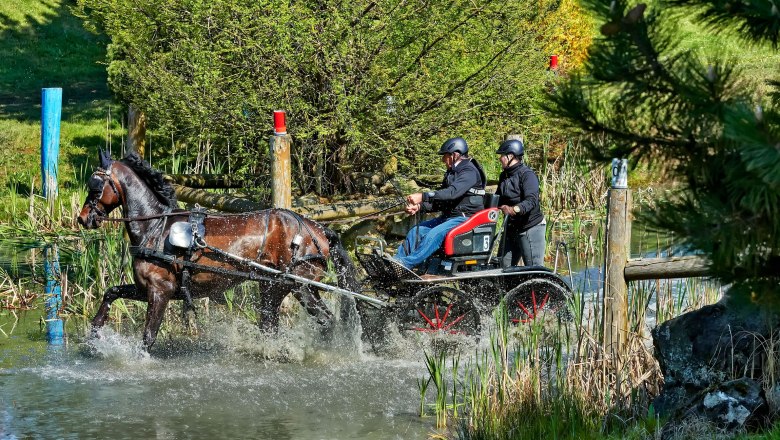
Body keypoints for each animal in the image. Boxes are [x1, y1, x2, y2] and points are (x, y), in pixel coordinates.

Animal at [76, 151, 362, 350]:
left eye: (95, 185)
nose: (83, 218)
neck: (156, 228)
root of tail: (318, 230)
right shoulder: (145, 288)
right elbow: (111, 292)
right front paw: (94, 333)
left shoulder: (160, 290)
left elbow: (148, 336)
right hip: (275, 287)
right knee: (271, 324)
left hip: (299, 286)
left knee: (326, 321)